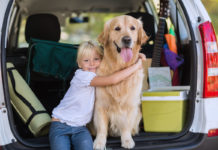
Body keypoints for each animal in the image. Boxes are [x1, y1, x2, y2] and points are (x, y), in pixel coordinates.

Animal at [93, 15, 148, 149]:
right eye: (117, 28)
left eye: (133, 28)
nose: (127, 39)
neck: (120, 67)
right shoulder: (101, 104)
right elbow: (102, 128)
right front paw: (99, 142)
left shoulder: (131, 105)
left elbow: (126, 125)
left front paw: (127, 140)